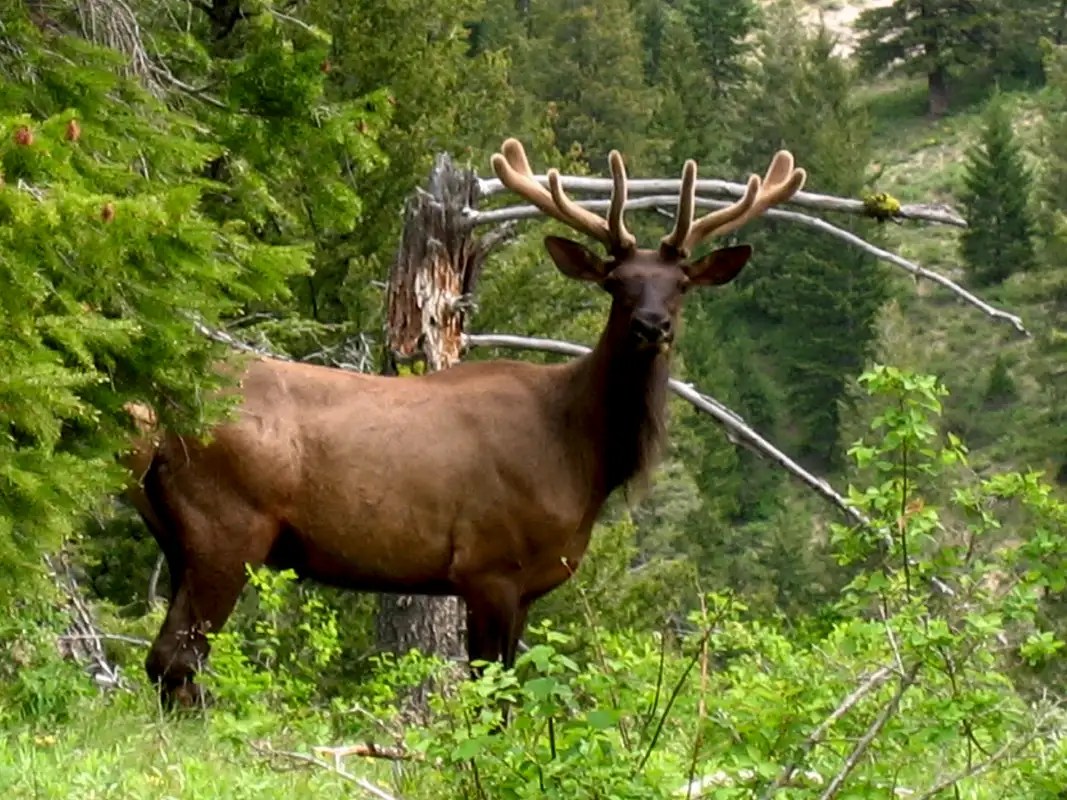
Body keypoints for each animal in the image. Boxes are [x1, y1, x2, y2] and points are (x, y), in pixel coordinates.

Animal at [123, 137, 805, 707]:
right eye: (617, 283)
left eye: (682, 283)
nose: (652, 326)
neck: (583, 457)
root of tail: (154, 419)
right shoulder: (489, 565)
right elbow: (490, 696)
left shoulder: (525, 585)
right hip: (228, 527)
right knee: (175, 660)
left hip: (178, 536)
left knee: (168, 661)